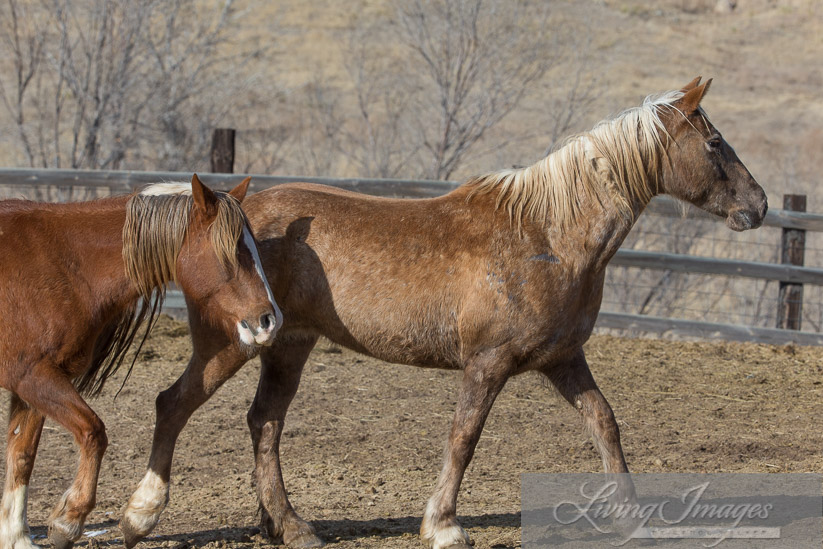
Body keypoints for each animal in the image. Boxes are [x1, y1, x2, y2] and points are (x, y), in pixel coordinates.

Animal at [0, 176, 284, 548]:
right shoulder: (34, 377)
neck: (60, 262)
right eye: (232, 250)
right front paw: (68, 520)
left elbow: (21, 457)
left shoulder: (31, 385)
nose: (270, 320)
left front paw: (16, 536)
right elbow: (93, 432)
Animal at [125, 78, 768, 548]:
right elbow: (464, 437)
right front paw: (443, 525)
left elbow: (604, 423)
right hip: (232, 343)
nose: (758, 205)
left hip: (287, 345)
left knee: (264, 423)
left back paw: (288, 526)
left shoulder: (563, 359)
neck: (547, 236)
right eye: (714, 143)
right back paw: (138, 518)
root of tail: (216, 219)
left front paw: (631, 517)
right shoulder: (488, 363)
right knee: (175, 404)